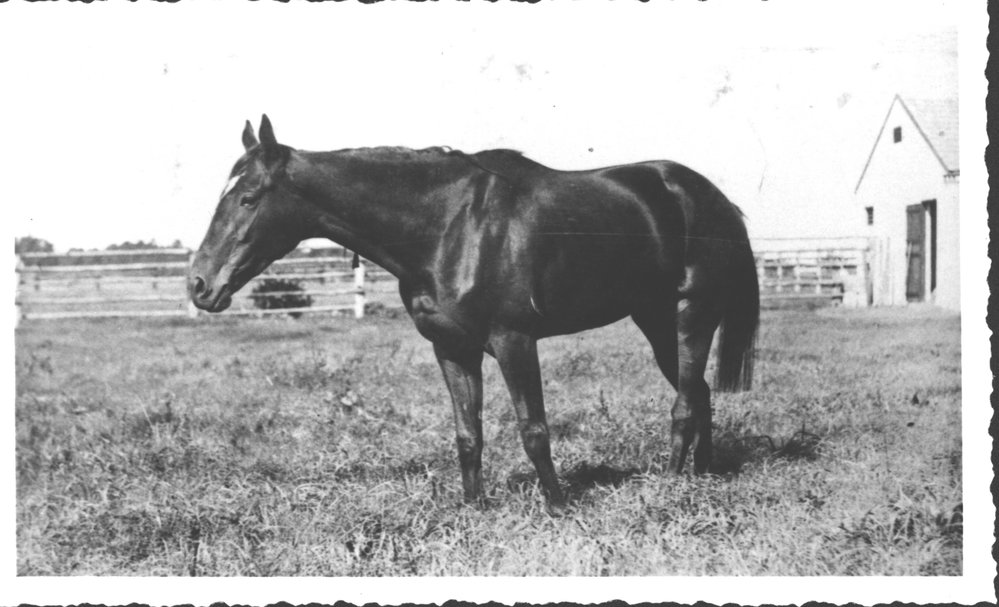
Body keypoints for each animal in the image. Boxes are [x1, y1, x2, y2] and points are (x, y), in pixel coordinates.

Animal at [189, 115, 759, 507]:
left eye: (248, 197)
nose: (199, 286)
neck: (448, 226)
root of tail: (712, 198)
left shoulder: (513, 340)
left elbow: (534, 429)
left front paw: (558, 506)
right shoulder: (451, 347)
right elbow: (468, 433)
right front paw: (474, 506)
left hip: (690, 315)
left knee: (685, 402)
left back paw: (671, 483)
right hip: (655, 320)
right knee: (699, 394)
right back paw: (701, 477)